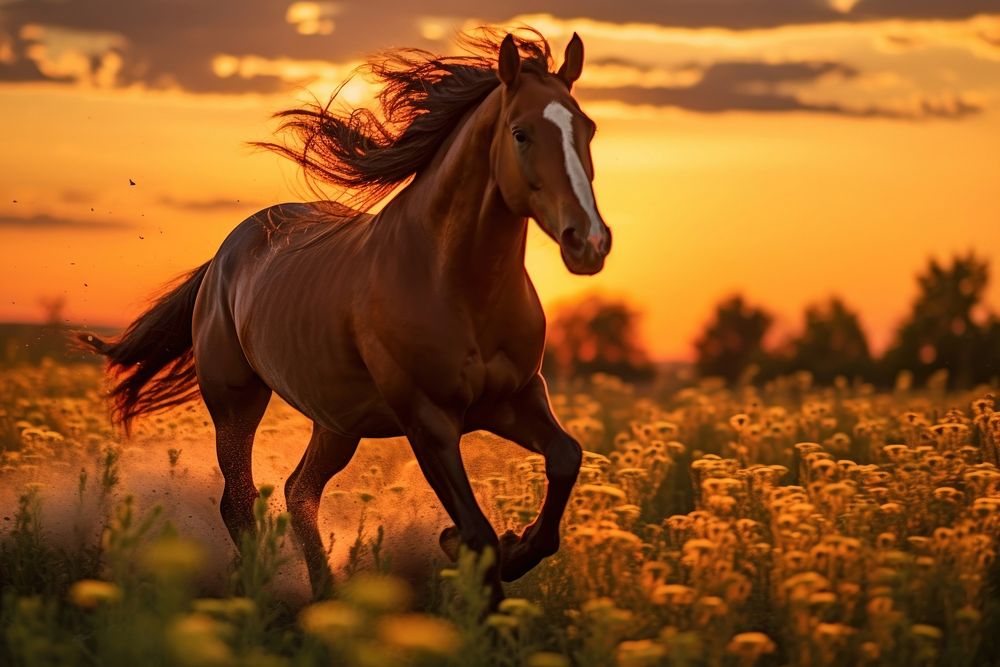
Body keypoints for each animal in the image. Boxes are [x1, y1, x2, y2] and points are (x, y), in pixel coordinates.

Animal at [80, 30, 608, 604]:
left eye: (588, 129)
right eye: (521, 133)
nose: (589, 242)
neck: (458, 286)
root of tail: (225, 253)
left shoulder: (517, 398)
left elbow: (565, 458)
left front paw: (515, 547)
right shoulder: (429, 421)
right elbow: (476, 532)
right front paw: (469, 557)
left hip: (337, 423)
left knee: (298, 491)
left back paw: (325, 595)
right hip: (236, 403)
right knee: (239, 501)